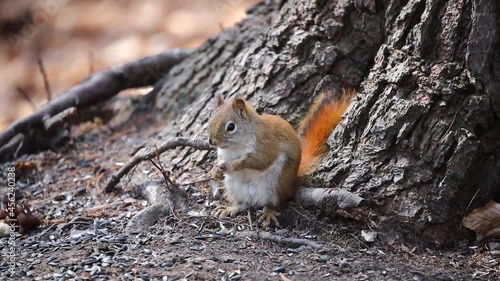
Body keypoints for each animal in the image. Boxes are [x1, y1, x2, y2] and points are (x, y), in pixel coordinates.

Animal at [207, 89, 356, 225]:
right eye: (210, 120)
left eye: (231, 126)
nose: (211, 142)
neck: (236, 146)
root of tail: (292, 183)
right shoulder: (223, 153)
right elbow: (220, 161)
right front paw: (215, 170)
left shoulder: (266, 144)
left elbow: (260, 161)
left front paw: (235, 164)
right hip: (234, 187)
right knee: (244, 203)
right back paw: (231, 208)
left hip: (276, 184)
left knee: (274, 204)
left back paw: (268, 213)